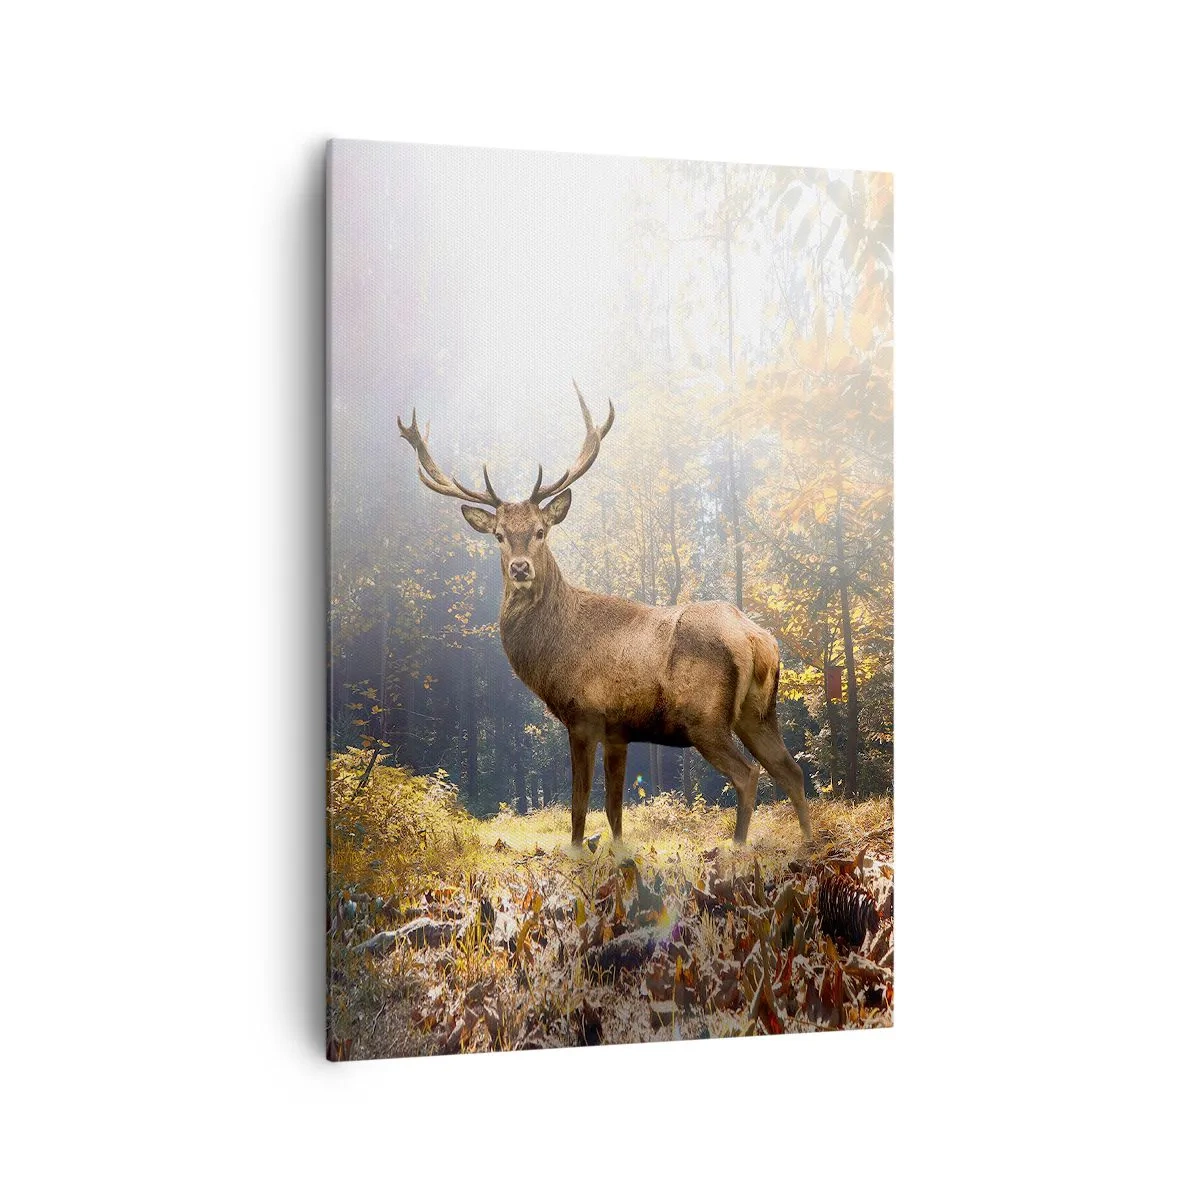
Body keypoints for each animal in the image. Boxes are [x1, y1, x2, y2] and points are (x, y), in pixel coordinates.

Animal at [397, 383, 813, 848]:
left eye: (541, 531)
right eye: (500, 536)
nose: (520, 568)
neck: (552, 653)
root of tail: (758, 638)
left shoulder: (583, 715)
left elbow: (579, 804)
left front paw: (578, 852)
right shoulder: (620, 731)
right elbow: (614, 808)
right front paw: (617, 852)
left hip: (705, 716)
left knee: (748, 774)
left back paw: (737, 847)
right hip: (758, 713)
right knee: (792, 771)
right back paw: (808, 841)